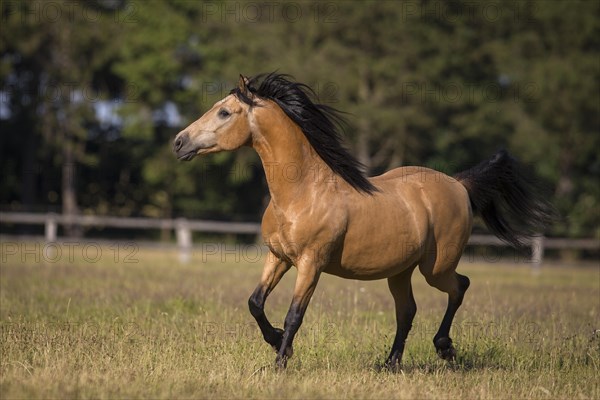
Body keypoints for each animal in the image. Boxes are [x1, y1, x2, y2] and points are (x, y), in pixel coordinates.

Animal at [172, 72, 552, 368]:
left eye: (224, 112)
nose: (179, 142)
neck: (303, 192)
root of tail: (459, 184)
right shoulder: (278, 257)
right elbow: (255, 303)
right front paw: (278, 342)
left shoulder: (311, 264)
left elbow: (294, 314)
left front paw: (280, 362)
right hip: (400, 271)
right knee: (407, 310)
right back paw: (391, 363)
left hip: (436, 268)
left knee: (460, 286)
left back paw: (444, 348)